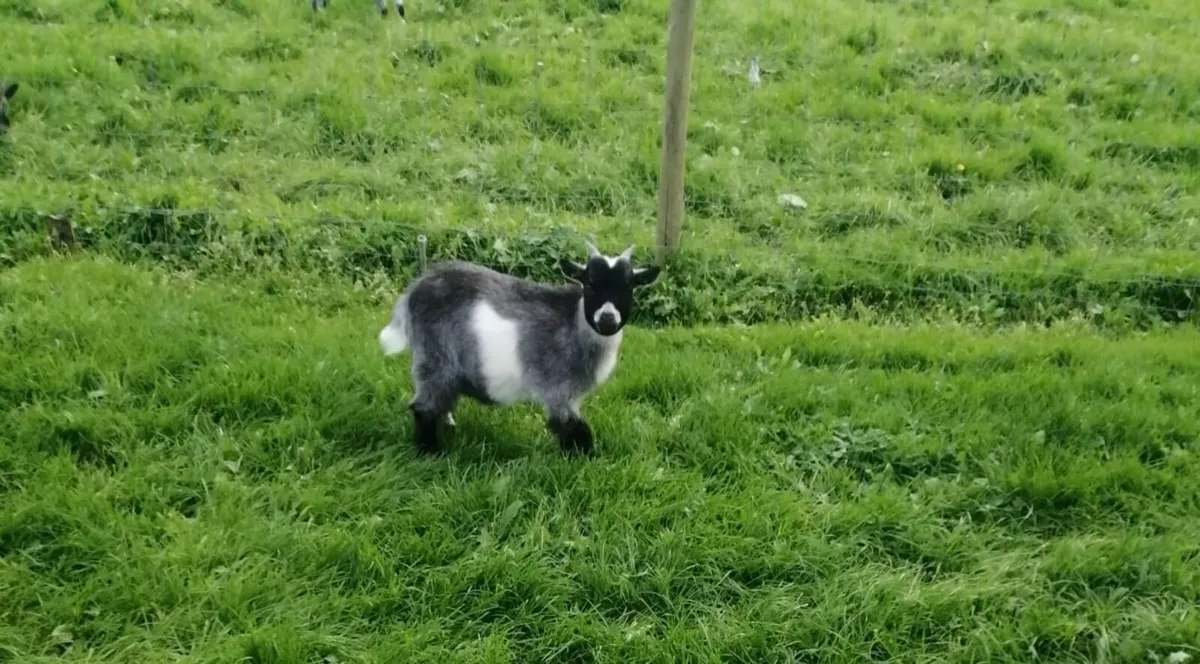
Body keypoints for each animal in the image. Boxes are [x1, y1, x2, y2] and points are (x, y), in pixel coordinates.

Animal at [377, 241, 661, 456]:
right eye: (590, 283)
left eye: (628, 286)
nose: (607, 320)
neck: (573, 324)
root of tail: (415, 289)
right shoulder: (558, 389)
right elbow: (574, 429)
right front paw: (585, 460)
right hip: (435, 357)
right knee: (424, 408)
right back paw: (429, 452)